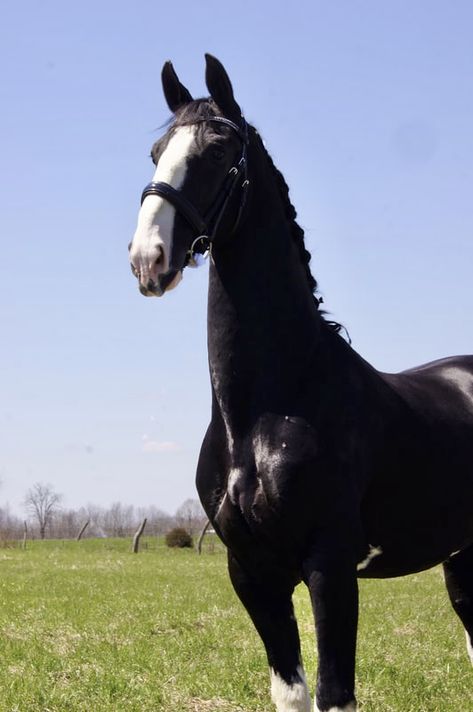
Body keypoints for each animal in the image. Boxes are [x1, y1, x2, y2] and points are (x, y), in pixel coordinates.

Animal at [128, 55, 472, 712]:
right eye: (156, 151)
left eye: (217, 150)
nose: (147, 259)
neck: (263, 415)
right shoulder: (252, 573)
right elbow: (292, 692)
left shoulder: (329, 567)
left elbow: (335, 692)